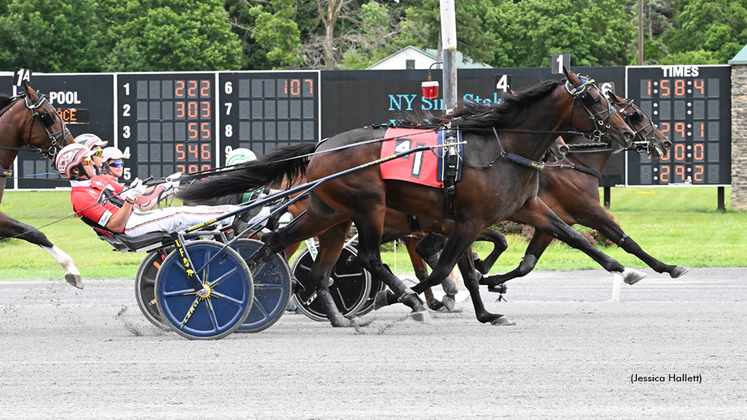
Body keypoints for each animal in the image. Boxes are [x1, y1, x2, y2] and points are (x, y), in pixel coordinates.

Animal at [181, 68, 644, 328]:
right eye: (594, 98)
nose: (625, 133)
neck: (498, 147)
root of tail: (322, 147)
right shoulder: (468, 222)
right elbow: (443, 269)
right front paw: (414, 299)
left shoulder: (522, 208)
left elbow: (574, 236)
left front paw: (626, 269)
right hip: (368, 206)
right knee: (367, 258)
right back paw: (399, 297)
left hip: (330, 213)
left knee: (290, 251)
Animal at [480, 91, 688, 288]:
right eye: (635, 115)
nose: (665, 142)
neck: (576, 164)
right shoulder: (590, 211)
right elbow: (628, 242)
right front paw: (668, 267)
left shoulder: (551, 221)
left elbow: (528, 264)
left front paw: (489, 279)